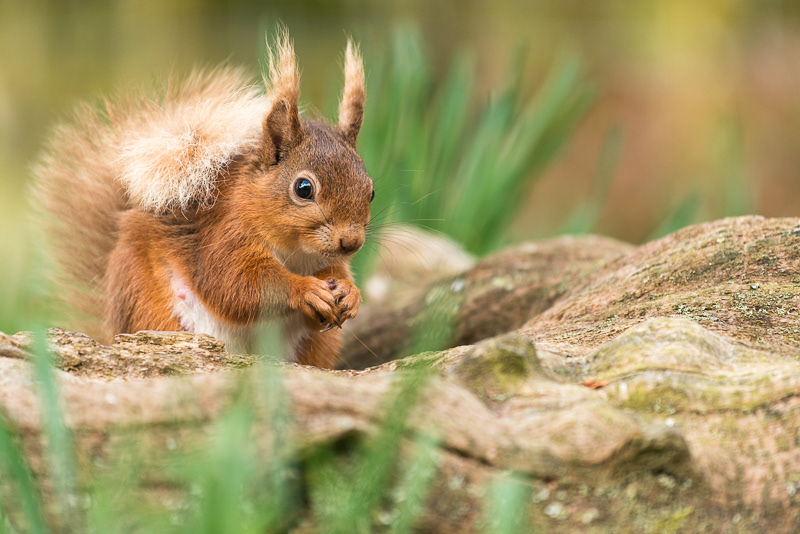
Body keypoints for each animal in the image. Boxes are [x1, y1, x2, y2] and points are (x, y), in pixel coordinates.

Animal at [32, 33, 373, 369]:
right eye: (303, 188)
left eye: (370, 190)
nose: (351, 243)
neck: (297, 251)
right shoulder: (223, 234)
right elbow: (236, 284)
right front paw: (305, 290)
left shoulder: (327, 262)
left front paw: (351, 293)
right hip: (148, 305)